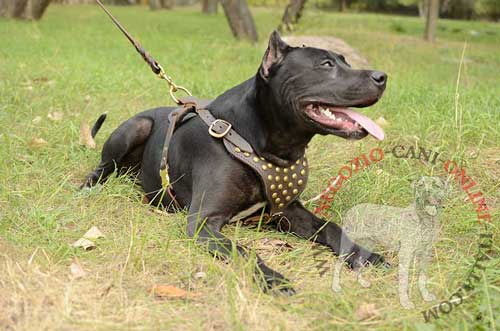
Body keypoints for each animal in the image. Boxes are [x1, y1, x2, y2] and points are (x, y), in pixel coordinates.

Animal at [81, 31, 386, 296]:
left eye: (345, 61)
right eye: (325, 64)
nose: (382, 77)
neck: (259, 143)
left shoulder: (289, 211)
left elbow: (331, 226)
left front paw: (364, 254)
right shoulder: (203, 222)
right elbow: (246, 252)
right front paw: (273, 279)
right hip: (135, 128)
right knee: (103, 167)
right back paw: (89, 186)